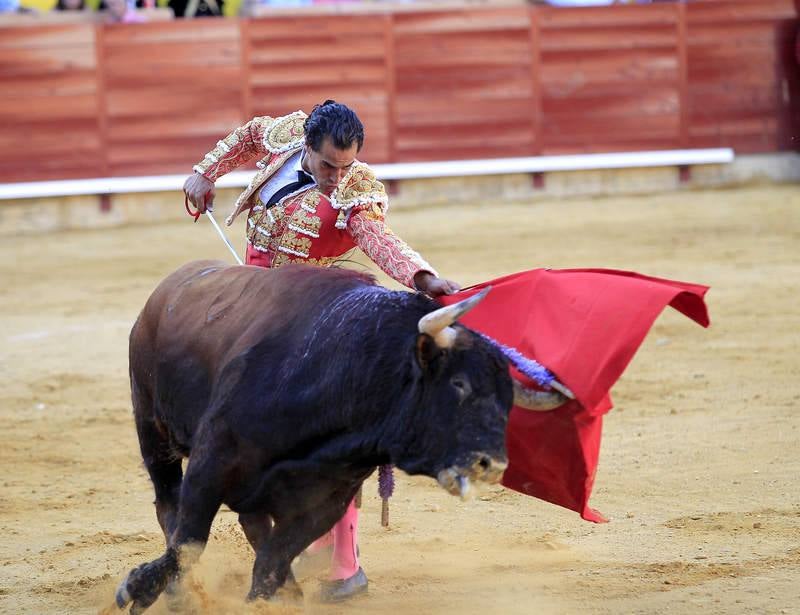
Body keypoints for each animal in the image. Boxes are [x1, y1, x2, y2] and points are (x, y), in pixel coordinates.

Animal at [115, 260, 564, 612]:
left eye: (508, 400)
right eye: (458, 384)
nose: (493, 464)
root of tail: (166, 290)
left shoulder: (327, 497)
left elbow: (272, 560)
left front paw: (272, 601)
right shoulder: (212, 462)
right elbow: (189, 540)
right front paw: (137, 589)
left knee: (252, 523)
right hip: (152, 429)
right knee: (168, 505)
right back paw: (178, 595)